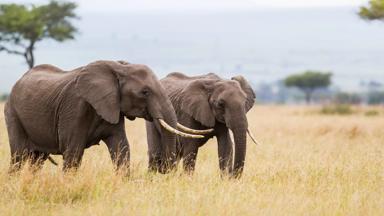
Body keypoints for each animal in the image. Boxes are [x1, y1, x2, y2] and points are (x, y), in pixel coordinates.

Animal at [5, 60, 204, 174]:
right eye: (145, 92)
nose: (166, 172)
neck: (118, 68)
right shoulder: (75, 106)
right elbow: (73, 150)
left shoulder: (112, 107)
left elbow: (121, 147)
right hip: (12, 113)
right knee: (19, 156)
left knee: (36, 160)